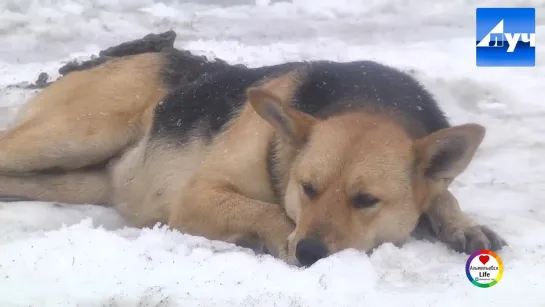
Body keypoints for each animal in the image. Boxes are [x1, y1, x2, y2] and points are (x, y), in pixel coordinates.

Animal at [0, 48, 506, 268]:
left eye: (365, 201)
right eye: (307, 188)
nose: (311, 254)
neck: (372, 101)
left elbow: (441, 194)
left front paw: (462, 223)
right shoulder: (197, 197)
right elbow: (271, 212)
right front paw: (276, 239)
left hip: (74, 177)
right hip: (76, 135)